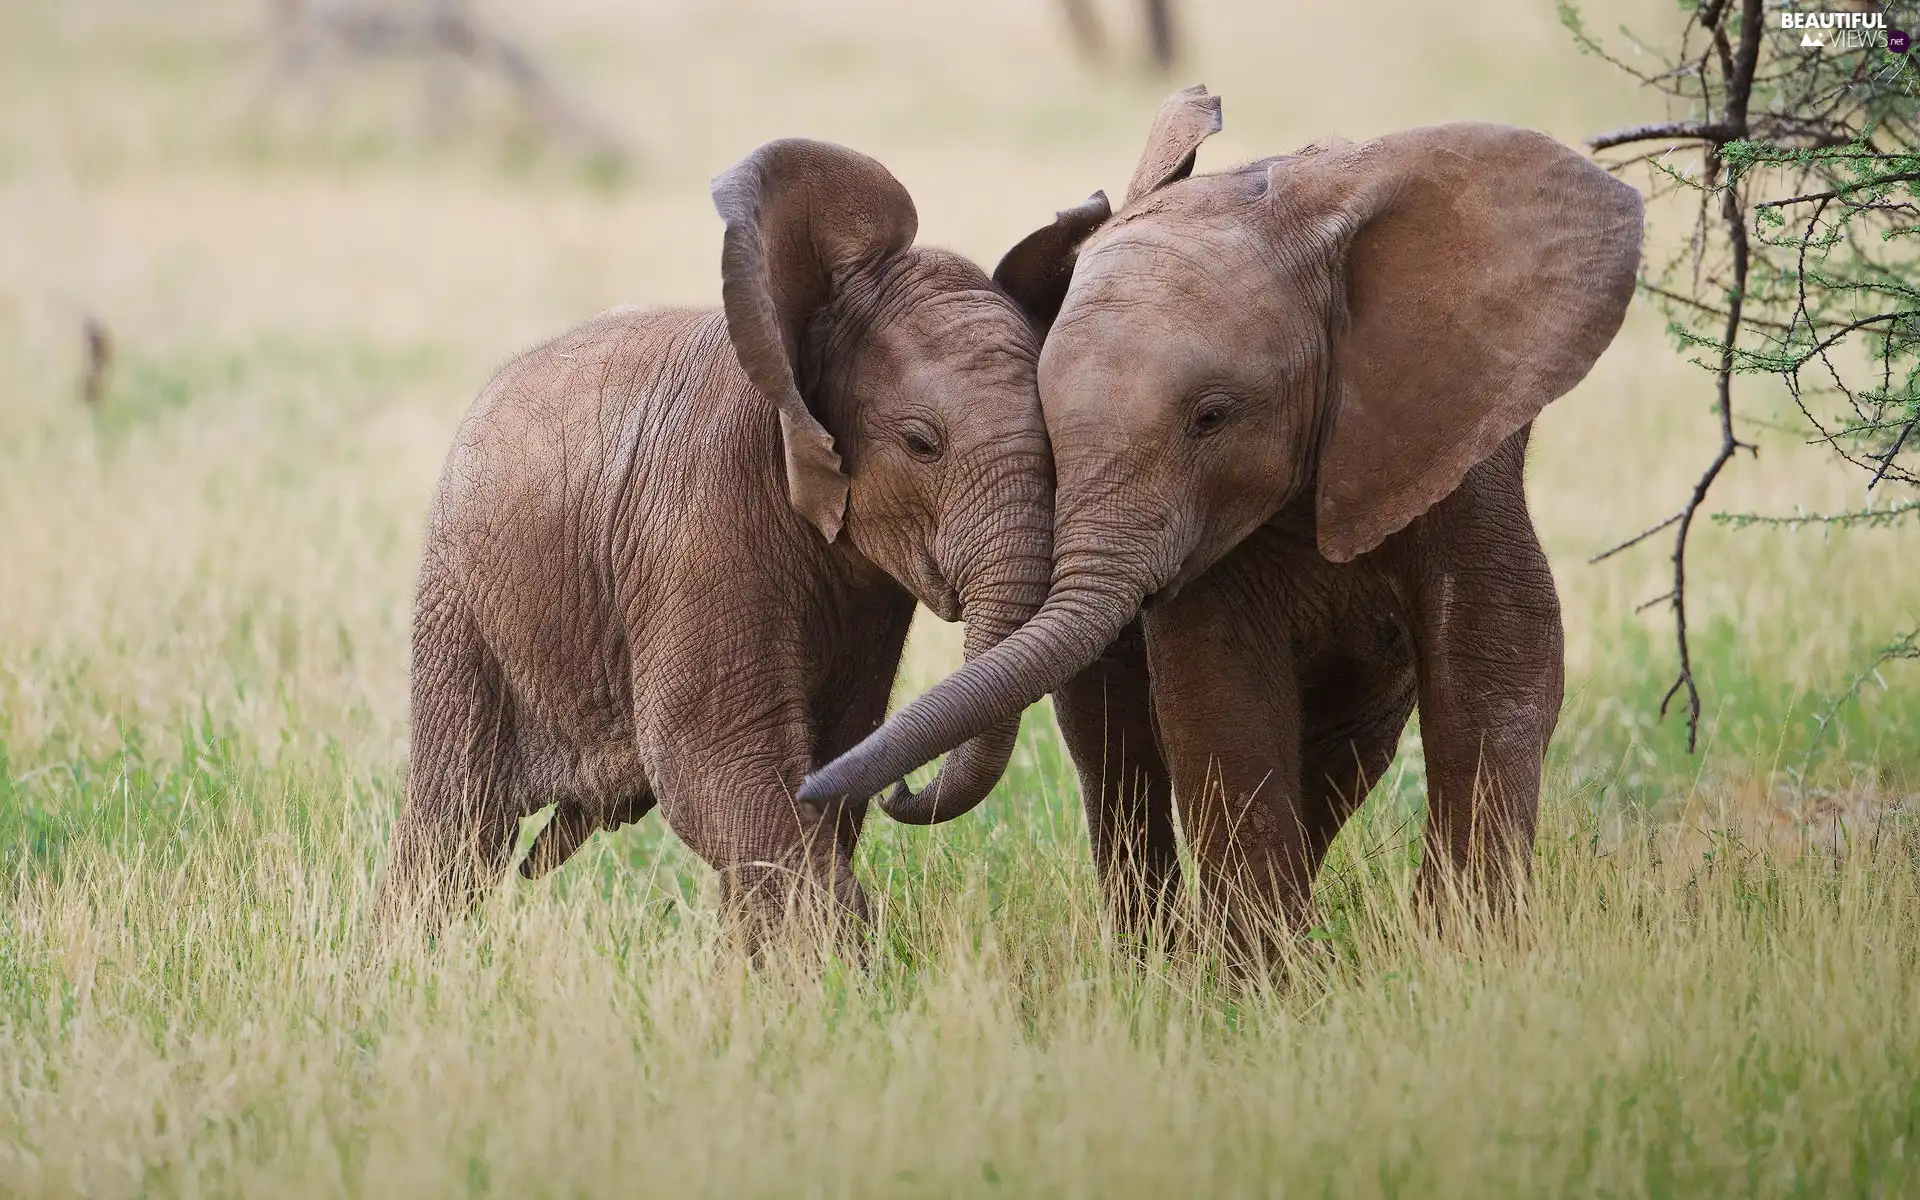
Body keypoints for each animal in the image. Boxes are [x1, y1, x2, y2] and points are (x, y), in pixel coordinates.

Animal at [380, 138, 1059, 944]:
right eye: (922, 444)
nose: (907, 789)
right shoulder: (700, 525)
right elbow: (716, 766)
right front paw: (849, 965)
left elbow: (831, 757)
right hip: (461, 598)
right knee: (459, 821)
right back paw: (404, 957)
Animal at [802, 84, 1643, 960]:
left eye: (1212, 417)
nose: (884, 788)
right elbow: (1219, 687)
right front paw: (1267, 976)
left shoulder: (1459, 437)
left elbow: (1500, 651)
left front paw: (1464, 952)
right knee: (1115, 744)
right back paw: (1156, 957)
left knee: (1345, 749)